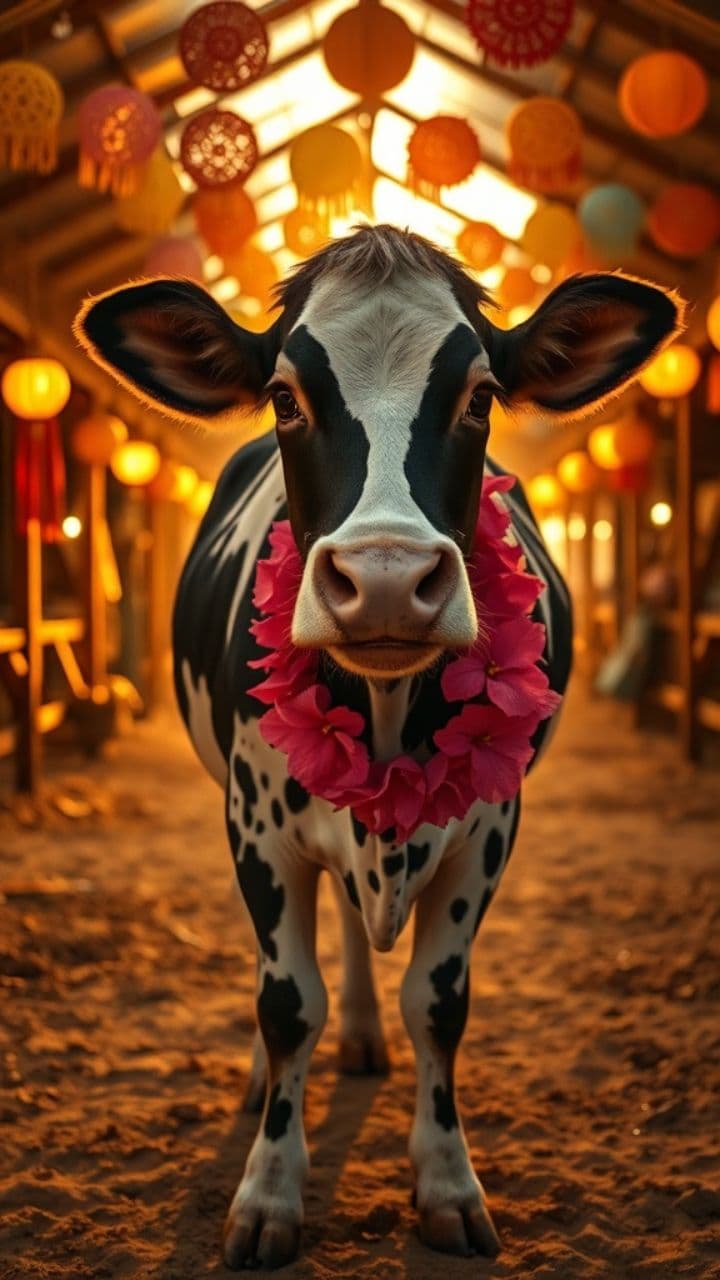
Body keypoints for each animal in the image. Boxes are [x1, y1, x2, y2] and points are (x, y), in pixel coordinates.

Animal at [75, 225, 681, 1270]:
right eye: (286, 395)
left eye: (479, 395)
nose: (389, 578)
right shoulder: (256, 827)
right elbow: (288, 1003)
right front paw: (268, 1192)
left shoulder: (488, 830)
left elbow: (437, 1003)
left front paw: (448, 1184)